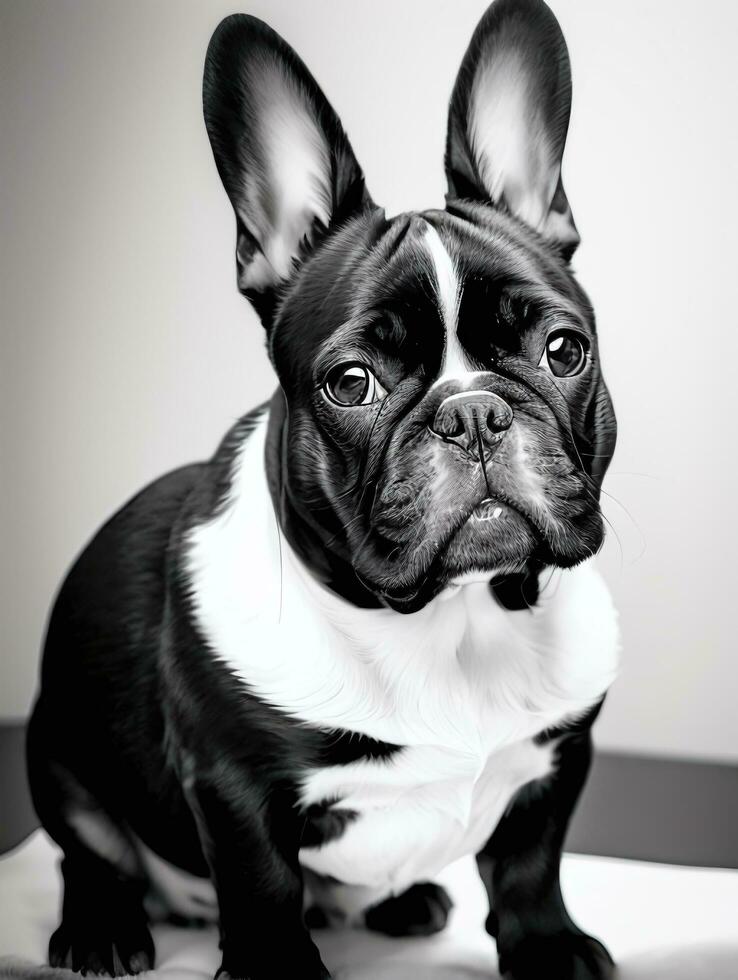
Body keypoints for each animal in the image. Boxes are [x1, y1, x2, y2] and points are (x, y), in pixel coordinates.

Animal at [27, 0, 616, 976]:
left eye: (563, 351)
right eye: (351, 382)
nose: (474, 414)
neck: (451, 619)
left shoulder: (556, 758)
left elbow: (533, 863)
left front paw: (548, 947)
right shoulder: (234, 787)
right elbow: (264, 888)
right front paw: (274, 967)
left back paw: (404, 902)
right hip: (59, 754)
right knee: (91, 853)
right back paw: (104, 927)